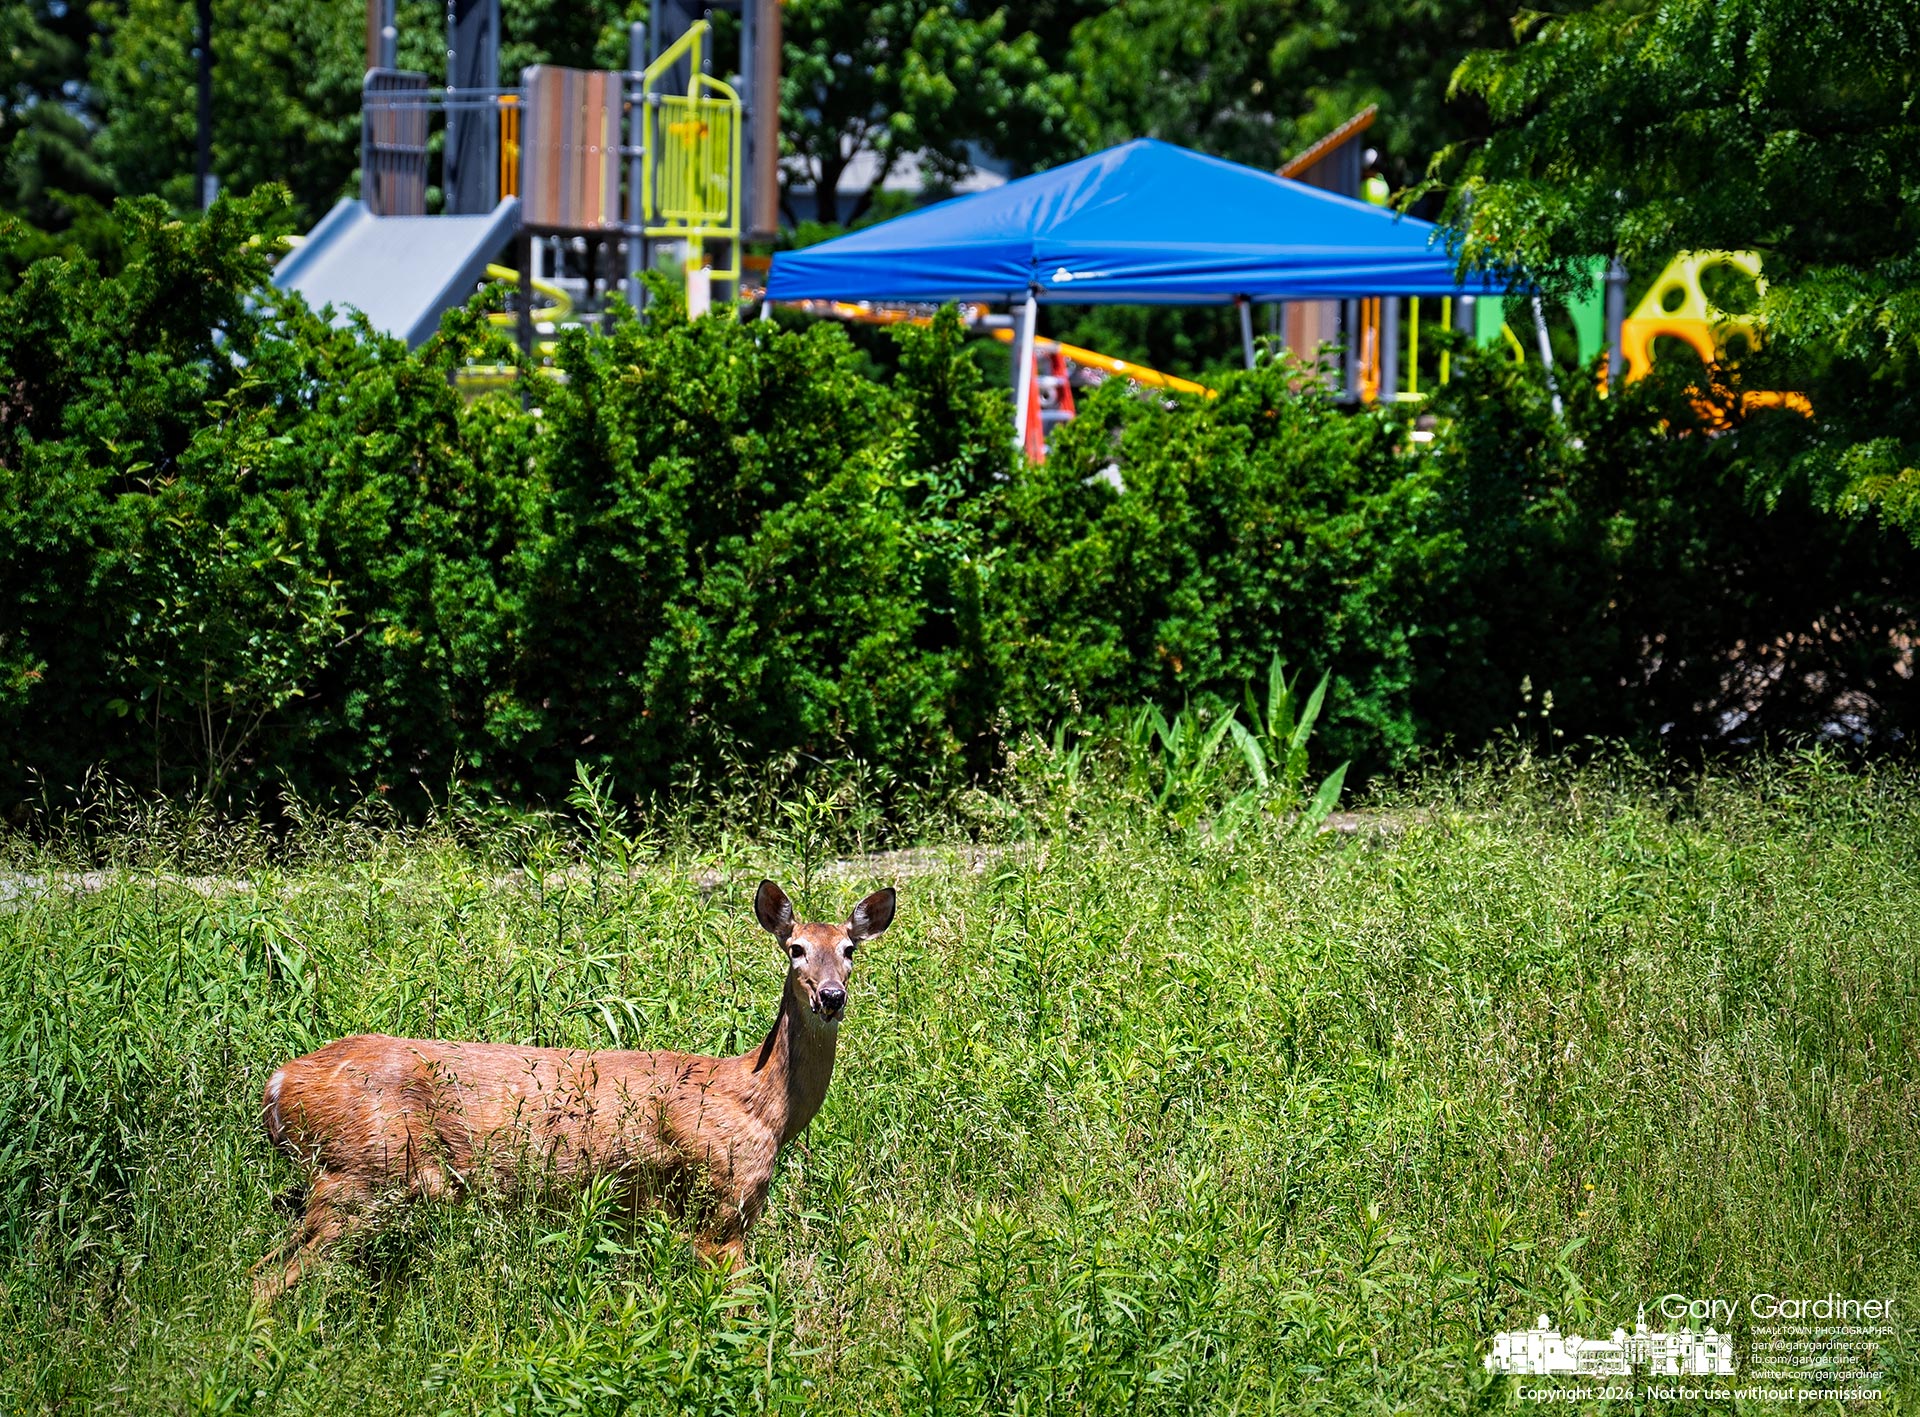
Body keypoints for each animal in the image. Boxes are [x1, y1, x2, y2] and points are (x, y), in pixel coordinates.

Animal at [252, 879, 894, 1304]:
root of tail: (279, 1084)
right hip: (359, 1174)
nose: (830, 995)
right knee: (273, 1278)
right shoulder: (721, 1202)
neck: (762, 1102)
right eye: (796, 949)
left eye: (849, 950)